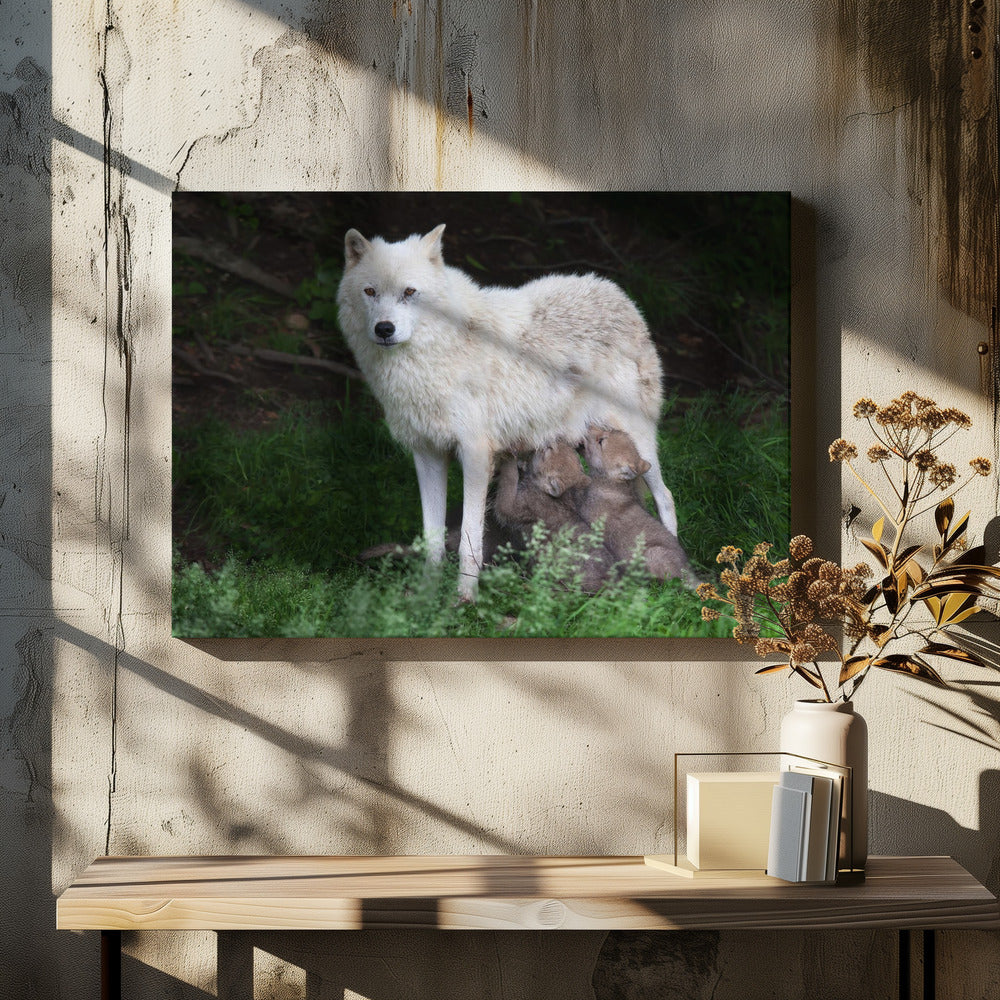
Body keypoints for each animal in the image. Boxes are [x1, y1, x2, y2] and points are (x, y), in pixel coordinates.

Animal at [336, 224, 676, 599]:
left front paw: (464, 599)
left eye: (410, 292)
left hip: (638, 443)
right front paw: (427, 597)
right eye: (370, 291)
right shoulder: (427, 454)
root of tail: (619, 296)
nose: (384, 329)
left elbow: (470, 540)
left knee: (666, 497)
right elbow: (433, 540)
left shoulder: (475, 455)